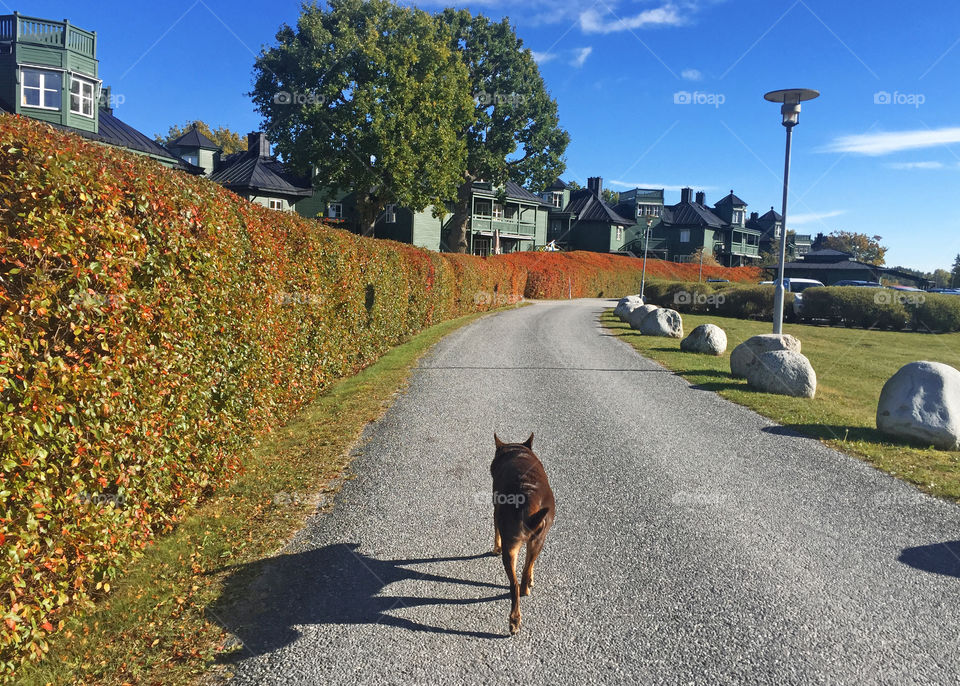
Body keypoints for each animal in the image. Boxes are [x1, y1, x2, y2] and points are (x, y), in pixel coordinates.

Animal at [496, 432, 556, 636]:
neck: (517, 452)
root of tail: (530, 503)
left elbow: (495, 534)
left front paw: (495, 548)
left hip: (511, 545)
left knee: (513, 584)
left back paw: (513, 619)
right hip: (538, 538)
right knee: (526, 568)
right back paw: (526, 588)